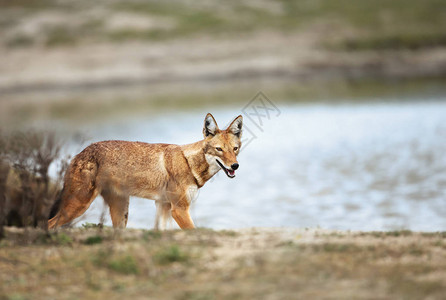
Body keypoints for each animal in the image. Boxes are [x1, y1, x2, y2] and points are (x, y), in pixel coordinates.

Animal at [48, 113, 242, 230]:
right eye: (219, 149)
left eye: (235, 149)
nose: (235, 166)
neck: (189, 163)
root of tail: (80, 153)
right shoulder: (179, 209)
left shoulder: (163, 206)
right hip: (78, 206)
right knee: (49, 224)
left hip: (121, 213)